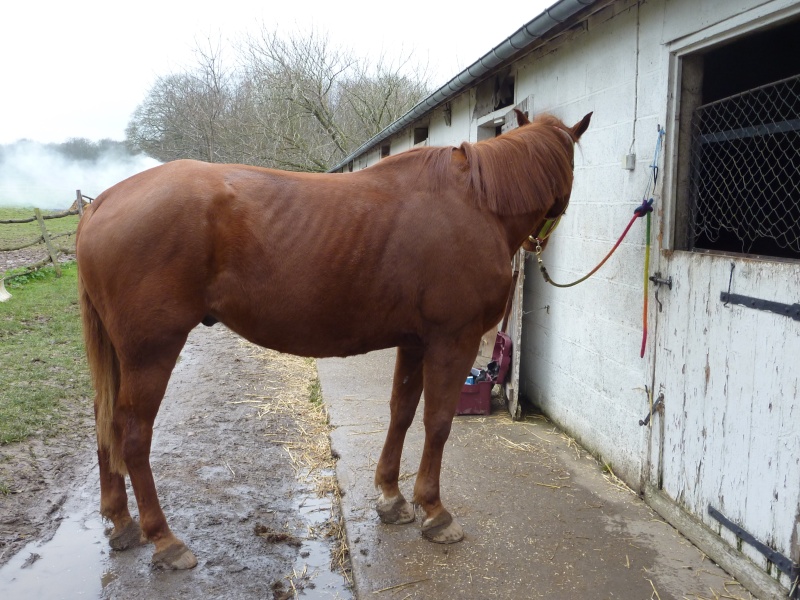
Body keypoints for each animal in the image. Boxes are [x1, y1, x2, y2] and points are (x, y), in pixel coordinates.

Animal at [76, 111, 588, 568]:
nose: (542, 244)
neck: (476, 204)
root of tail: (103, 201)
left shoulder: (415, 341)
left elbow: (401, 411)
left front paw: (391, 498)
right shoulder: (452, 340)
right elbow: (438, 422)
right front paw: (435, 511)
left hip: (124, 355)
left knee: (105, 423)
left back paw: (121, 523)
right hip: (151, 352)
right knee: (132, 434)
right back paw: (164, 540)